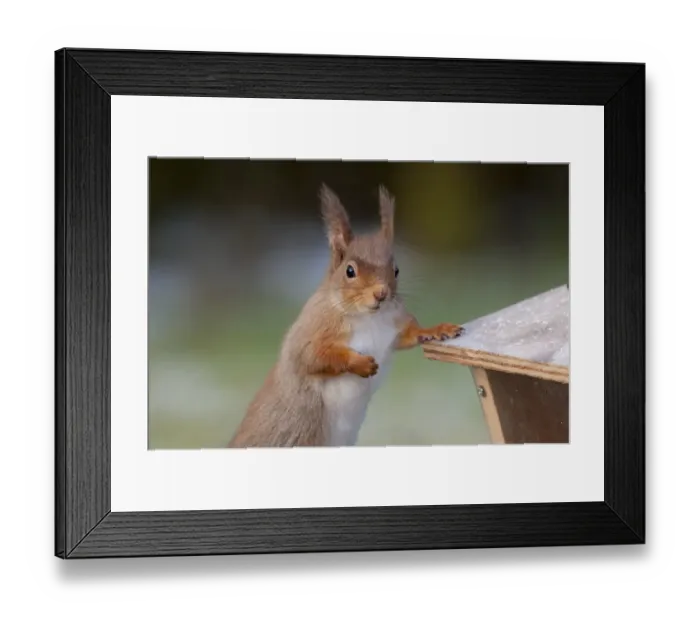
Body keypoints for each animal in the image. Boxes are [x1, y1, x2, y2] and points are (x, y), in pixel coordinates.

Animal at [227, 184, 464, 448]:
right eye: (350, 271)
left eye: (396, 270)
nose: (381, 293)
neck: (368, 317)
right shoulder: (314, 329)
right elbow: (313, 356)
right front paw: (360, 363)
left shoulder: (393, 329)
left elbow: (411, 334)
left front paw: (439, 329)